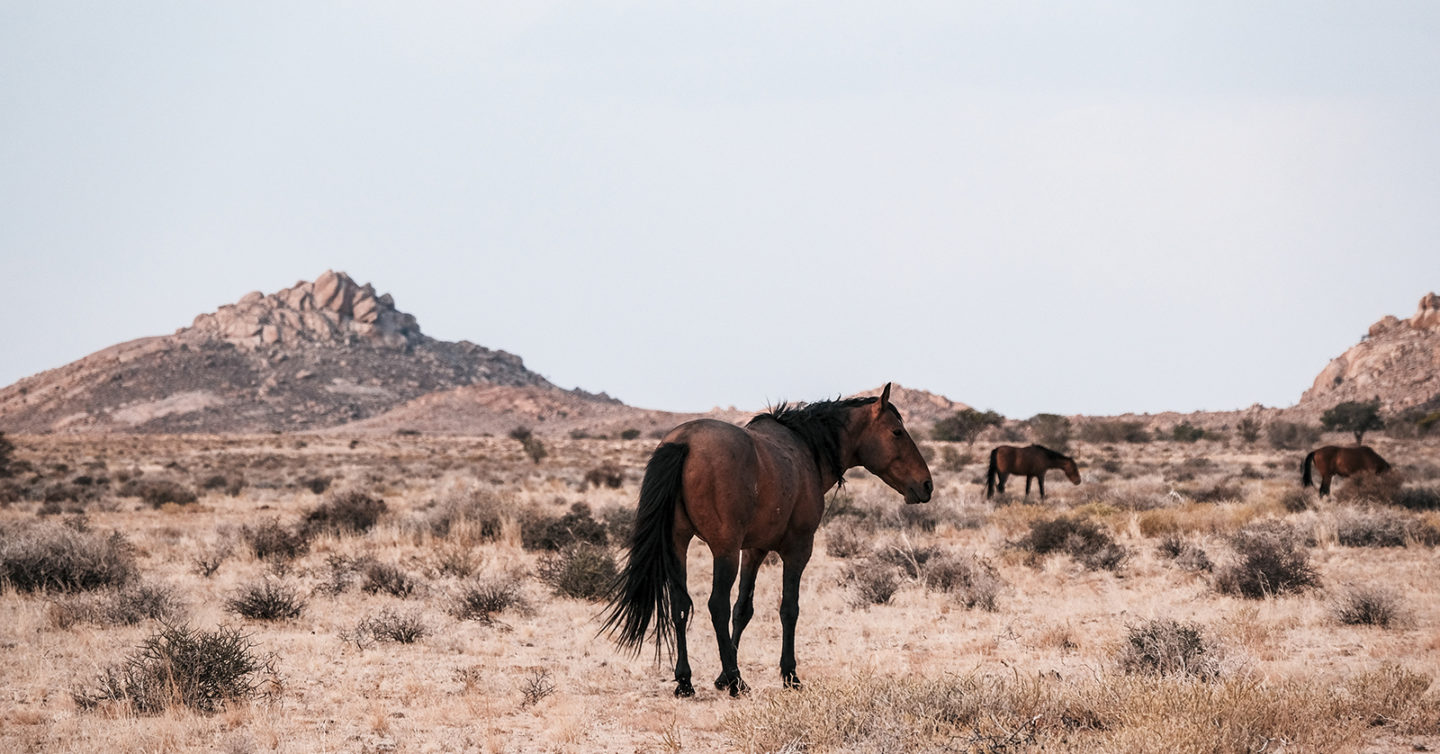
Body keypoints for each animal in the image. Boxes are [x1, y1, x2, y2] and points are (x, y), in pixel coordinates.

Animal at [599, 385, 927, 699]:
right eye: (897, 432)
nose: (926, 484)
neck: (806, 449)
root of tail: (685, 442)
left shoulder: (753, 551)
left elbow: (743, 609)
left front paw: (721, 677)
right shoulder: (797, 550)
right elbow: (788, 609)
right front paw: (789, 675)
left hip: (679, 543)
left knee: (681, 605)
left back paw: (685, 681)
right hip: (724, 551)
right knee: (716, 605)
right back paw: (737, 682)